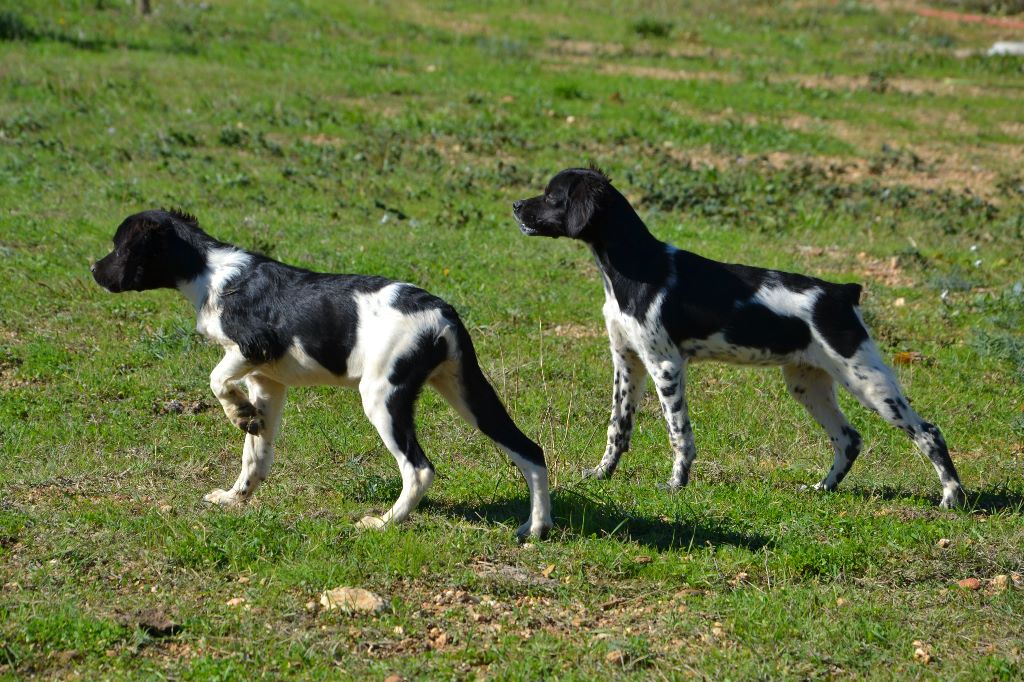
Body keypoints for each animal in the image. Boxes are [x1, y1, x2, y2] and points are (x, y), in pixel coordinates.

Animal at [93, 209, 557, 540]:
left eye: (120, 247)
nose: (94, 270)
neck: (209, 272)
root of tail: (442, 314)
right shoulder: (267, 381)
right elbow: (255, 454)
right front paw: (235, 495)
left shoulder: (253, 345)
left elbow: (216, 378)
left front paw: (237, 414)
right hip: (465, 391)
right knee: (529, 450)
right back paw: (536, 528)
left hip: (383, 396)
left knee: (419, 469)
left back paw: (384, 523)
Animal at [512, 166, 966, 507]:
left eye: (552, 196)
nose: (515, 205)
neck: (633, 268)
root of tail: (841, 292)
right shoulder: (627, 362)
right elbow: (617, 429)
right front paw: (601, 475)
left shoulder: (665, 366)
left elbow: (679, 434)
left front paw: (676, 485)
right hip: (808, 383)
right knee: (849, 439)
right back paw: (823, 488)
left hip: (867, 380)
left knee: (928, 433)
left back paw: (951, 498)